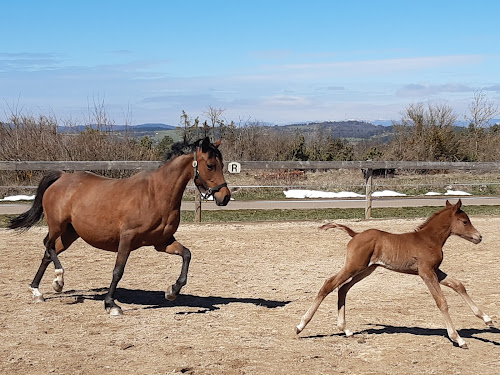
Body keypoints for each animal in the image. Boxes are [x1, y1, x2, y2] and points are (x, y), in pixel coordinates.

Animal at [8, 137, 230, 316]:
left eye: (222, 164)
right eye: (211, 165)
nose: (225, 197)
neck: (156, 194)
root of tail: (62, 176)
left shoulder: (162, 242)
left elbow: (187, 255)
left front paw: (172, 291)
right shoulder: (127, 239)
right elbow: (118, 271)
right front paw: (111, 305)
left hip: (71, 233)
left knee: (48, 252)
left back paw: (38, 291)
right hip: (57, 226)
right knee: (47, 245)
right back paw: (58, 280)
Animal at [294, 200, 494, 350]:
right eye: (465, 221)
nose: (479, 237)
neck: (429, 239)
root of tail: (355, 234)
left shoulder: (436, 271)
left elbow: (459, 285)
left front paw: (487, 319)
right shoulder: (426, 272)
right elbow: (441, 301)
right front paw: (458, 339)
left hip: (367, 269)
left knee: (343, 288)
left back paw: (346, 330)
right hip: (354, 266)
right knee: (329, 284)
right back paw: (300, 326)